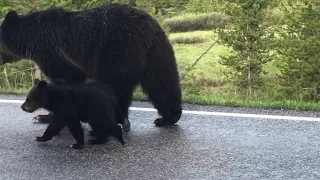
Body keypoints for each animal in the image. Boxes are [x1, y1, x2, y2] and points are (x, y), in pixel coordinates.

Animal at [0, 3, 182, 129]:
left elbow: (66, 78)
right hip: (158, 53)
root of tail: (148, 29)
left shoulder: (53, 52)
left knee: (115, 85)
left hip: (118, 50)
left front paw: (47, 116)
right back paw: (168, 118)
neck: (30, 39)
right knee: (162, 84)